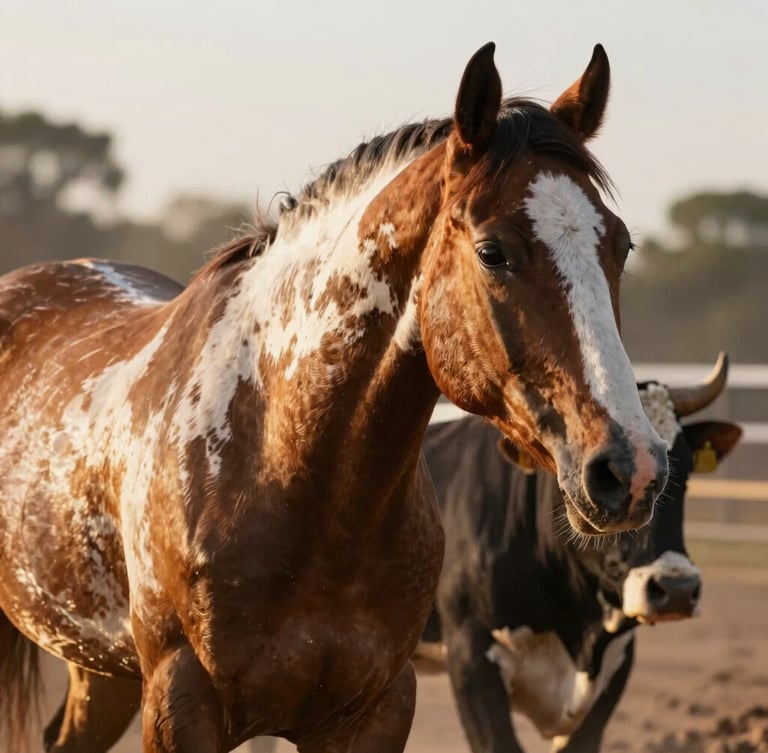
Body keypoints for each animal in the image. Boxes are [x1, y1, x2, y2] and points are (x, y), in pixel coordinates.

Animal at [0, 42, 667, 753]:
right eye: (493, 252)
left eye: (621, 244)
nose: (630, 469)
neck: (281, 468)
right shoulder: (181, 703)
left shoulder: (376, 708)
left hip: (101, 672)